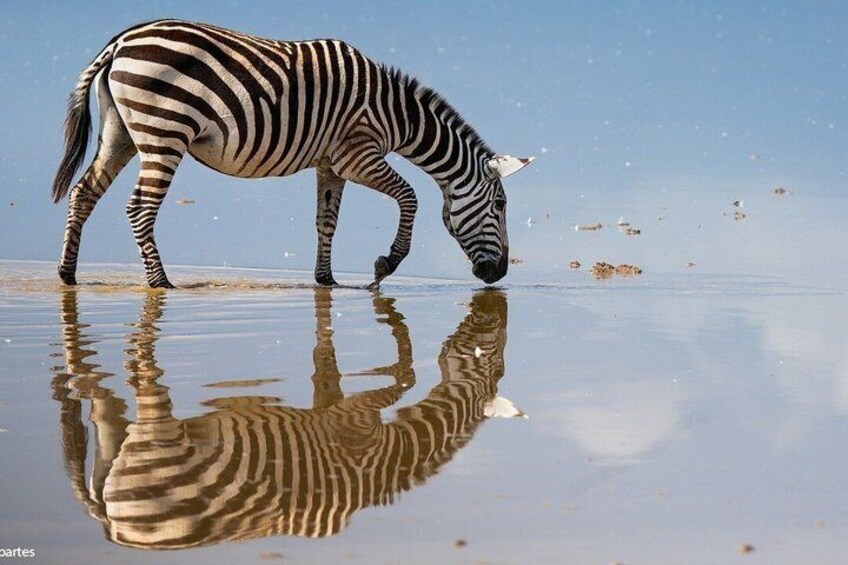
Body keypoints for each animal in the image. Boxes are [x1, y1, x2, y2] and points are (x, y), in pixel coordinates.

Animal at [51, 287, 523, 546]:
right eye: (497, 364)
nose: (494, 281)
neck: (389, 458)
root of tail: (112, 526)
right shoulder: (355, 422)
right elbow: (397, 377)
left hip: (115, 442)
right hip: (156, 441)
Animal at [52, 20, 533, 288]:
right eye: (501, 205)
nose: (501, 275)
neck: (396, 115)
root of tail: (120, 43)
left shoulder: (330, 164)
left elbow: (327, 221)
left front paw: (326, 281)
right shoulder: (357, 154)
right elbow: (410, 197)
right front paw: (385, 265)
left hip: (122, 134)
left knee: (83, 193)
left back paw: (68, 274)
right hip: (163, 133)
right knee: (140, 208)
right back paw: (160, 283)